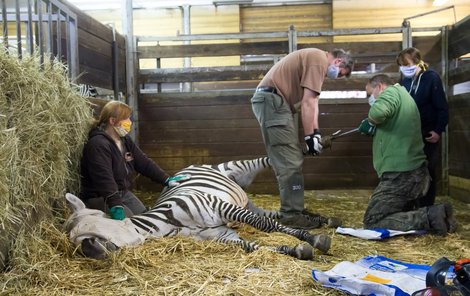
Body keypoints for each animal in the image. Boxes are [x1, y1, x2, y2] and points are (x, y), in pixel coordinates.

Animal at [65, 157, 330, 260]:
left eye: (83, 233)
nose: (90, 250)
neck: (165, 224)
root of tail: (192, 166)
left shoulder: (219, 206)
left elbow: (265, 226)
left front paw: (314, 240)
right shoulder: (218, 234)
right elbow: (253, 246)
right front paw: (297, 249)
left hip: (234, 168)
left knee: (271, 161)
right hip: (244, 199)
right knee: (278, 214)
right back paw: (320, 219)